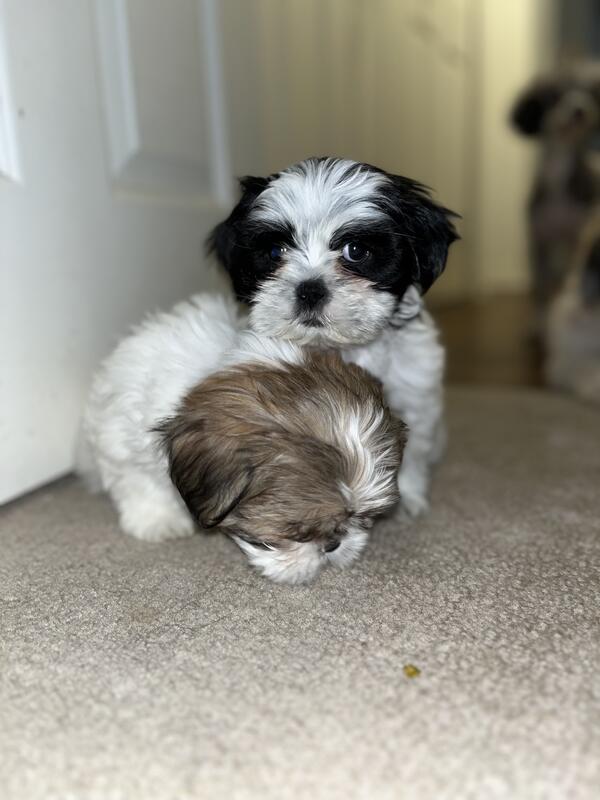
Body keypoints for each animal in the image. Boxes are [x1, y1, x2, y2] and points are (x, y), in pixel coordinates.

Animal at [79, 294, 406, 583]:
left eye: (361, 518)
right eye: (294, 533)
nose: (333, 544)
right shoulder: (121, 434)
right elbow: (138, 480)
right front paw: (157, 520)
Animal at [208, 157, 458, 516]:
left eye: (356, 251)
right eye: (275, 252)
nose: (310, 290)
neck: (341, 348)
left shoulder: (412, 392)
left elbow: (410, 452)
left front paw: (408, 497)